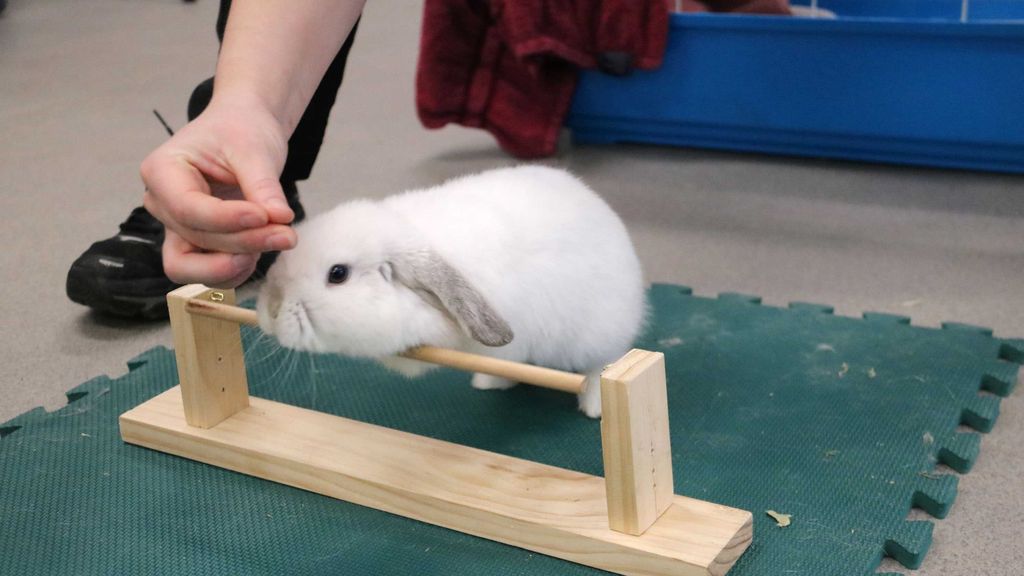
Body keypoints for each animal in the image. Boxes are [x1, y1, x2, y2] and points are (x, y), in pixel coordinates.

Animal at [257, 165, 646, 418]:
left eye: (338, 274)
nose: (271, 310)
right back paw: (490, 381)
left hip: (599, 336)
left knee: (599, 365)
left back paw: (594, 407)